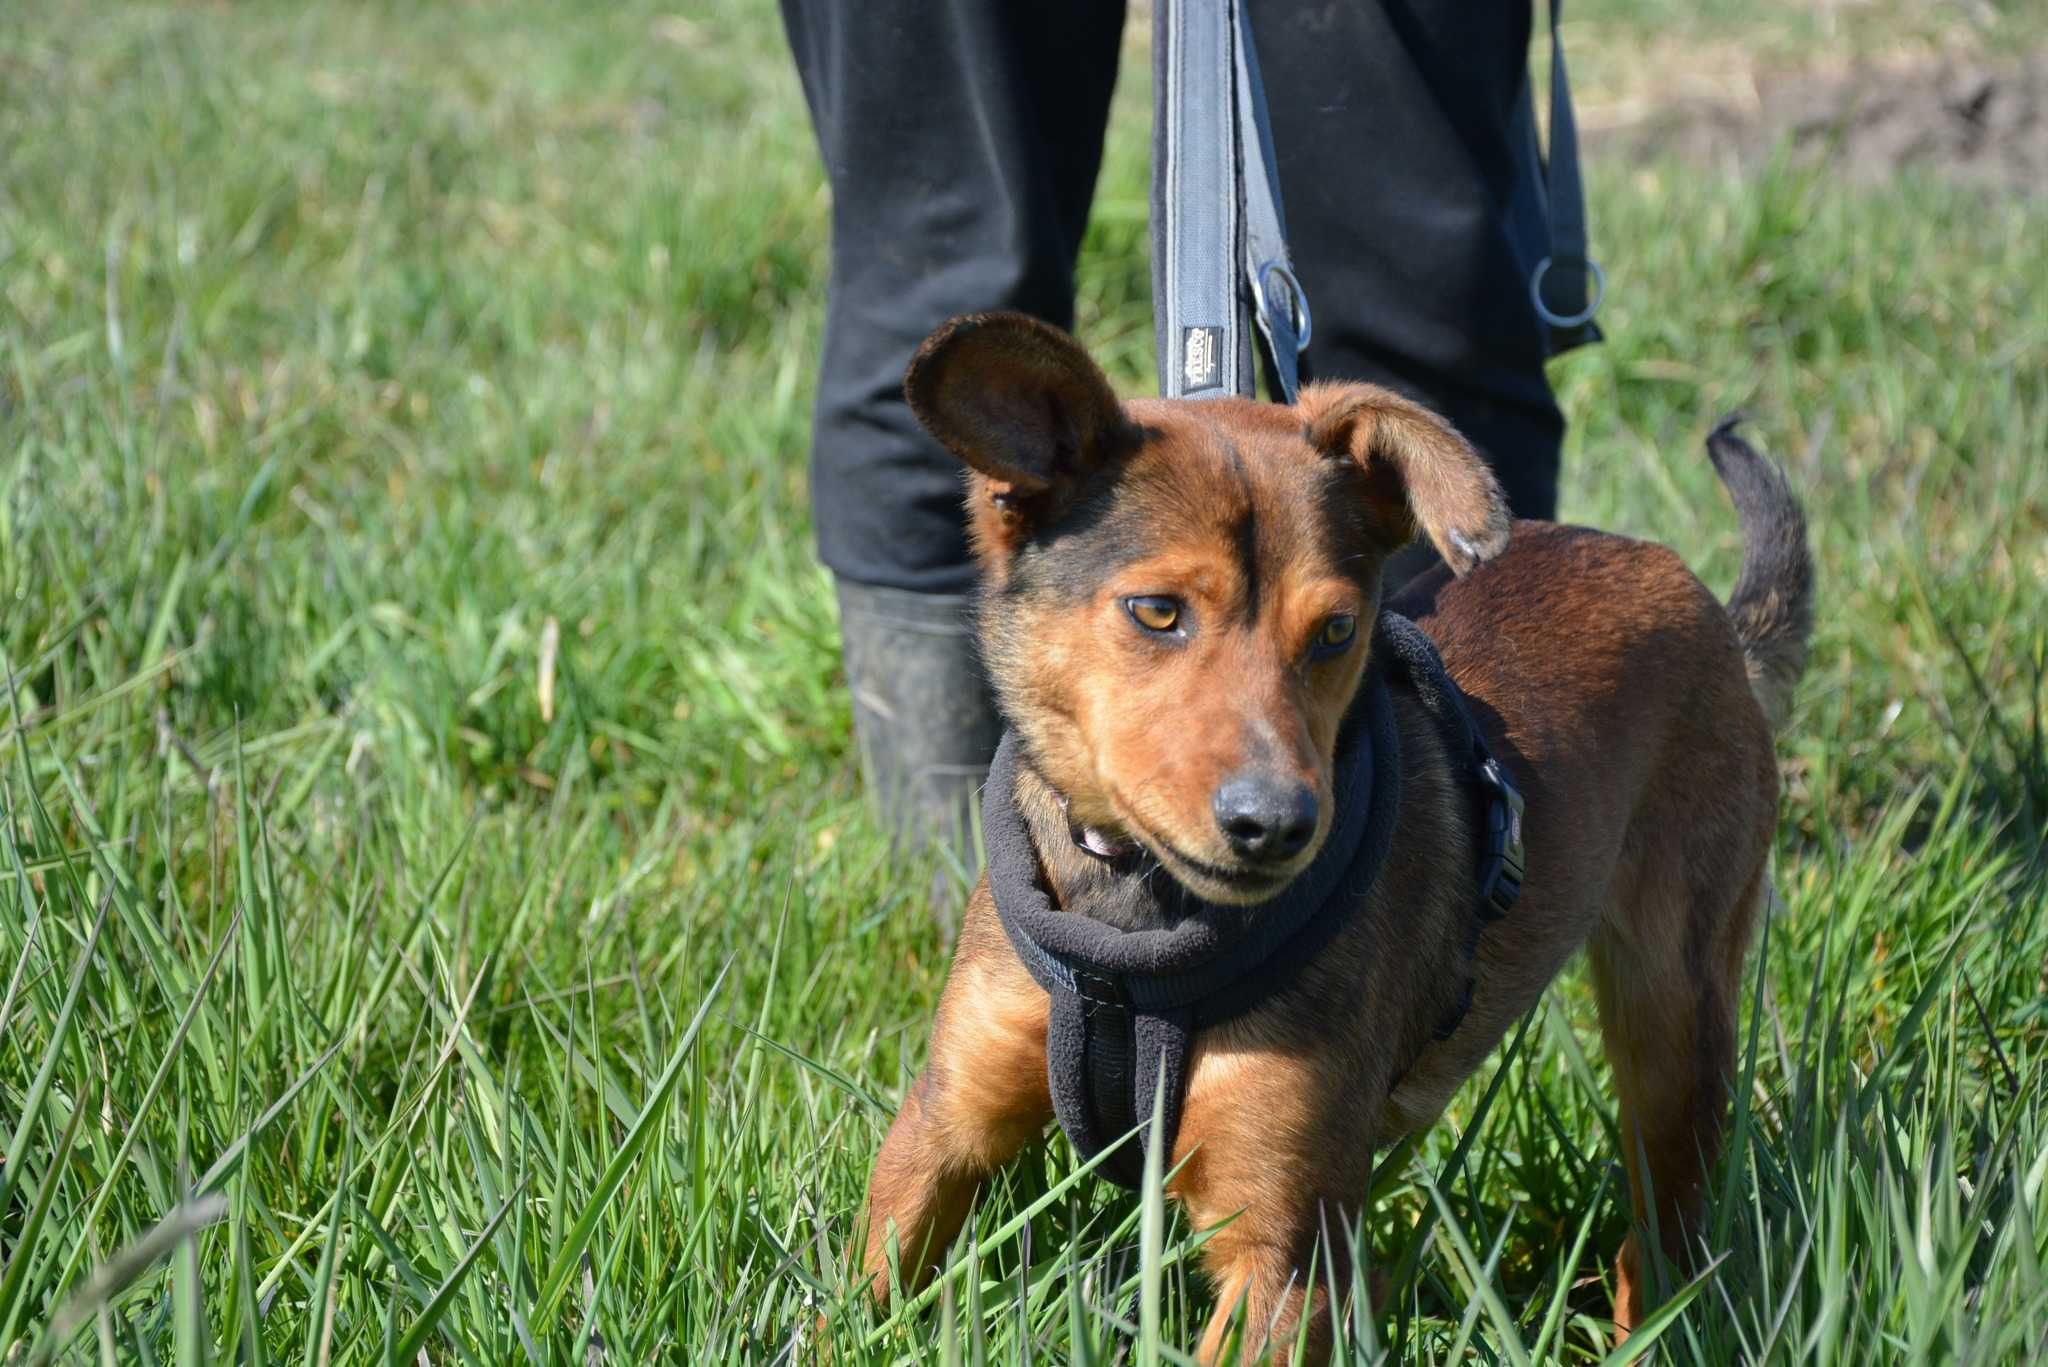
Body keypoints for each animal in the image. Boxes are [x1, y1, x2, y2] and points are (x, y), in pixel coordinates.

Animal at [856, 313, 1818, 1360]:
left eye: (1335, 632)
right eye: (1156, 611)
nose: (1277, 824)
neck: (1138, 915)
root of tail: (1710, 610)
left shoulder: (1281, 1249)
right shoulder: (942, 1124)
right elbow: (859, 1296)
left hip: (1674, 1017)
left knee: (1663, 1227)